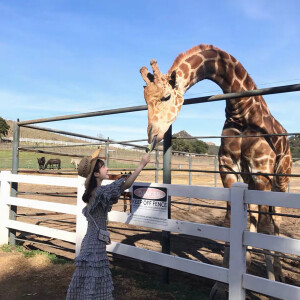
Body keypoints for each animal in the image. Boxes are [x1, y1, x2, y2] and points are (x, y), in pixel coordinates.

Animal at [141, 43, 292, 298]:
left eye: (166, 96)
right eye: (145, 100)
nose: (153, 136)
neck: (242, 110)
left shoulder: (262, 168)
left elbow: (265, 226)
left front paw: (270, 286)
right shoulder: (228, 167)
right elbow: (231, 222)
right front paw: (221, 285)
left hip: (280, 179)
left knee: (275, 220)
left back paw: (278, 275)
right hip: (251, 179)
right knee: (253, 216)